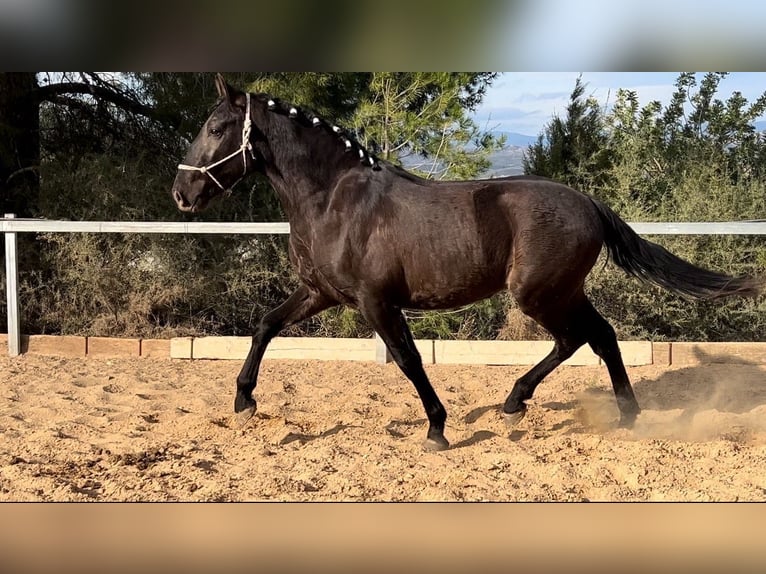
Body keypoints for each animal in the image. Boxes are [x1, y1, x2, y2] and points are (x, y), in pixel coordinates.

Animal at [171, 75, 764, 454]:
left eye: (218, 128)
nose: (181, 192)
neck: (335, 199)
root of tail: (588, 203)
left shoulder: (374, 301)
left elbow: (408, 360)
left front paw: (437, 429)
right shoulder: (322, 292)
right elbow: (266, 325)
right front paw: (243, 400)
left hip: (539, 293)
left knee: (578, 338)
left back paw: (525, 403)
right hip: (562, 291)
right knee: (600, 336)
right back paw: (612, 413)